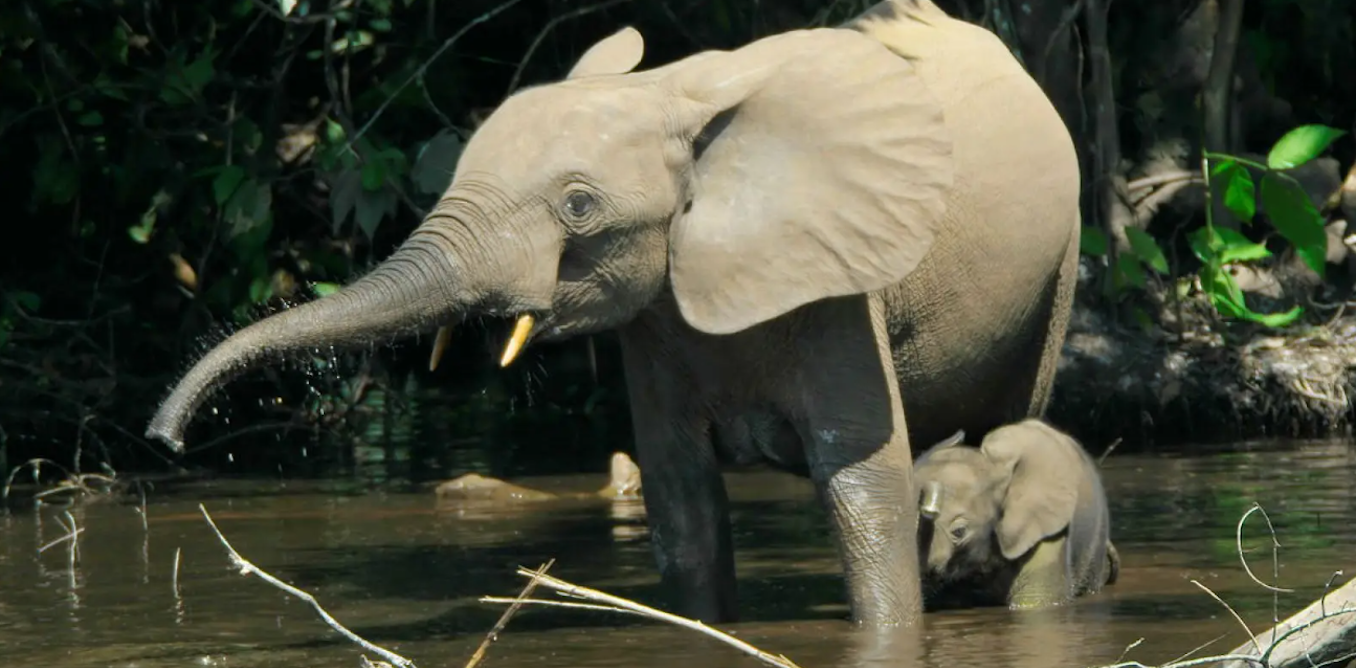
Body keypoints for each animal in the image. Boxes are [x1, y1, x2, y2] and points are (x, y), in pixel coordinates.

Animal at [145, 0, 1082, 627]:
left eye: (579, 206)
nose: (164, 439)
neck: (672, 95)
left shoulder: (839, 282)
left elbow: (862, 488)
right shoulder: (657, 318)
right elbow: (681, 503)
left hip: (1060, 264)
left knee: (1006, 424)